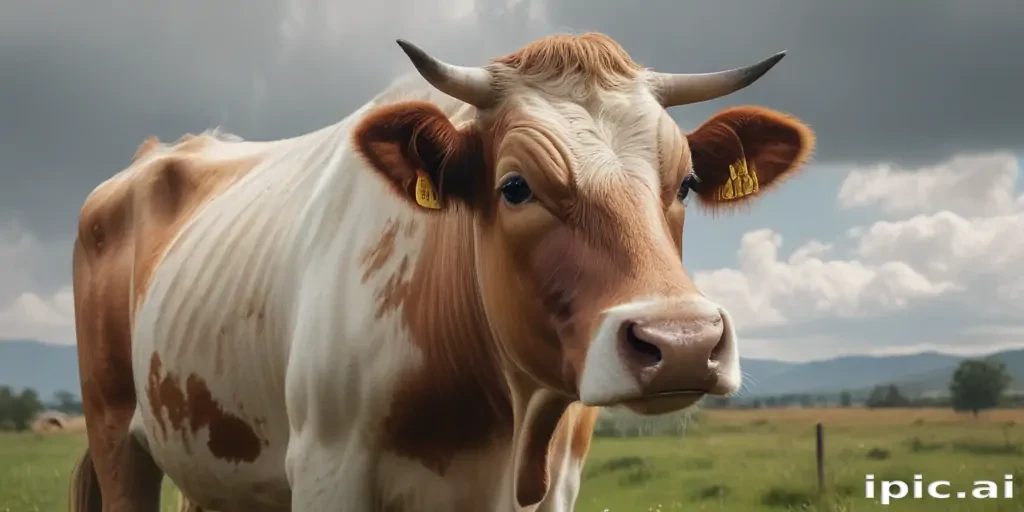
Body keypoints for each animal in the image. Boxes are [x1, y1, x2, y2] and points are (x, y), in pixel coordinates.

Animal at [68, 32, 815, 512]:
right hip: (116, 438)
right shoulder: (326, 470)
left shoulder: (557, 487)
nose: (683, 343)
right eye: (514, 187)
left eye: (685, 183)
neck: (502, 421)